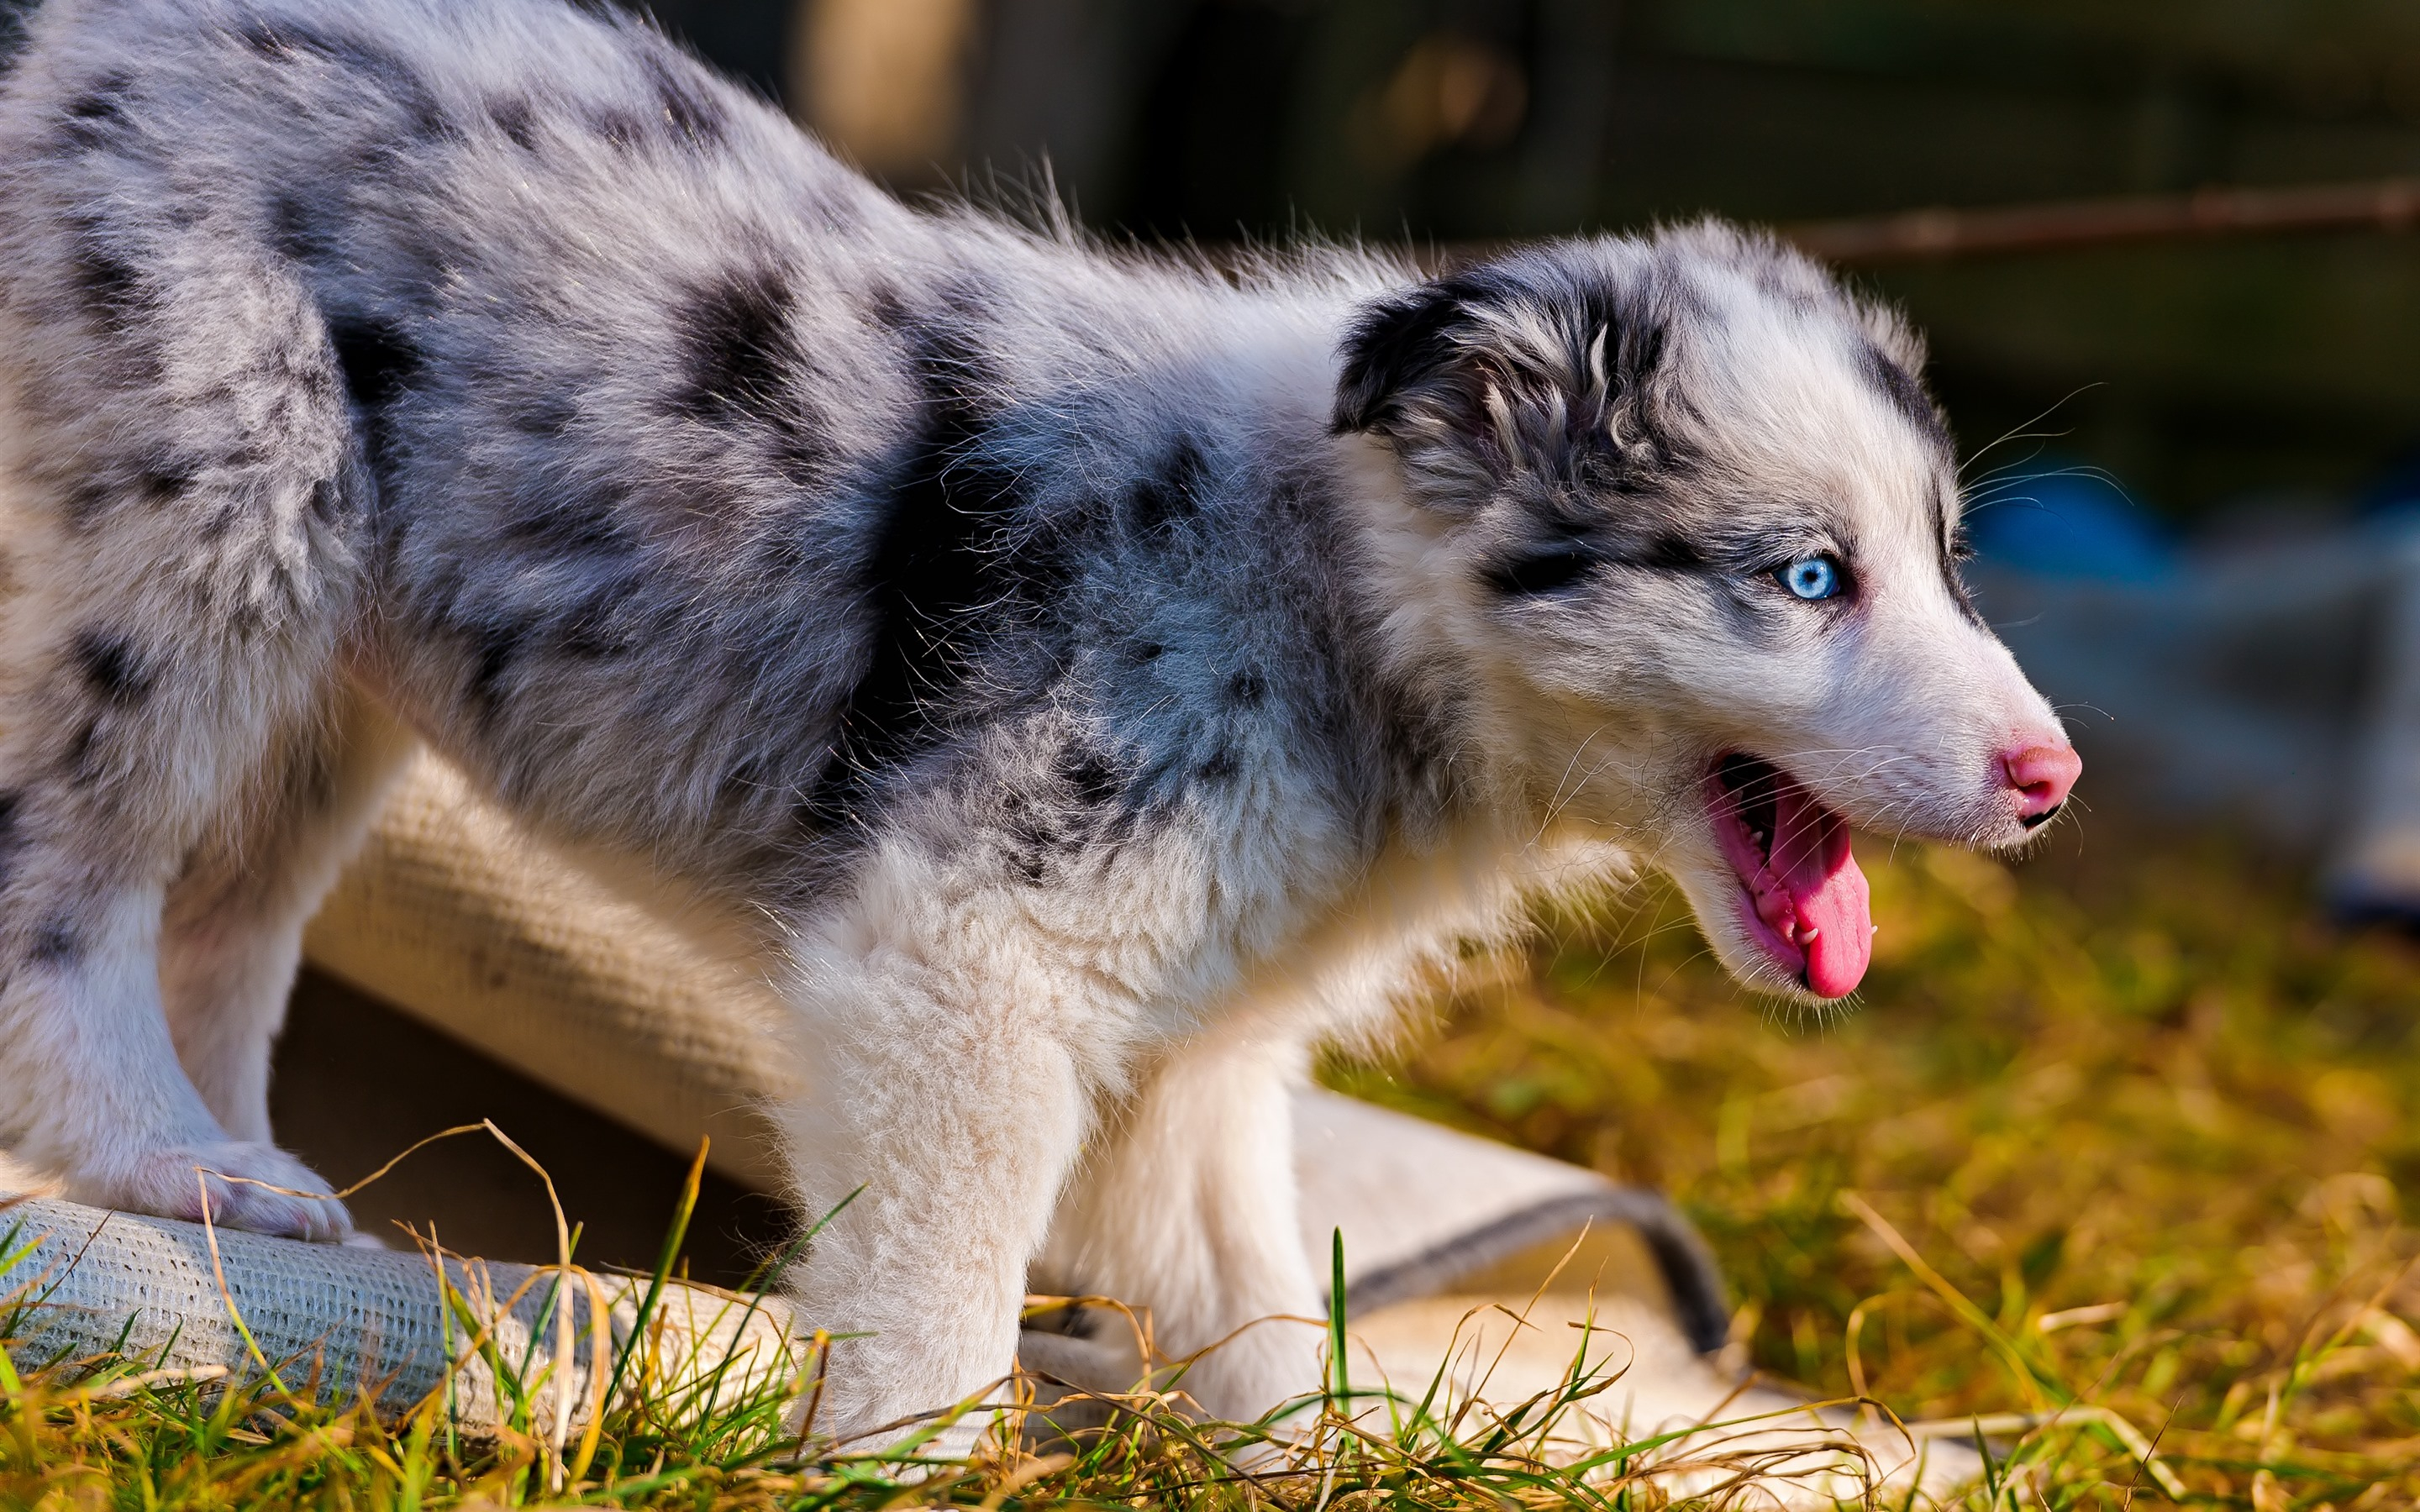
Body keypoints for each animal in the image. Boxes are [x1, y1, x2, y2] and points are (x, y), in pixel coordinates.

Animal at [0, 0, 2081, 1441]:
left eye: (1946, 562)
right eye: (1807, 577)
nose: (2053, 780)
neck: (1336, 592)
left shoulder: (1191, 1075)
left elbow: (1260, 1312)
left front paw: (1324, 1462)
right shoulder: (963, 956)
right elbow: (946, 1302)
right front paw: (896, 1471)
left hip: (327, 666)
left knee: (224, 926)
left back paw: (278, 1202)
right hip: (204, 524)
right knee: (59, 890)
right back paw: (171, 1166)